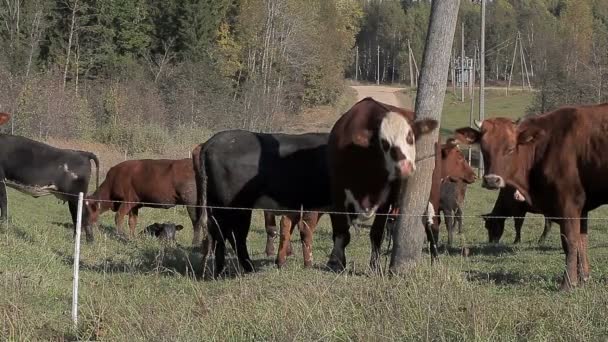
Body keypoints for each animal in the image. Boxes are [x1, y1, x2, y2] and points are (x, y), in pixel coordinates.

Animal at [192, 130, 330, 276]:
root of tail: (210, 142)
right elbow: (306, 231)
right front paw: (310, 264)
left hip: (216, 206)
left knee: (219, 233)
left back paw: (219, 270)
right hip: (237, 207)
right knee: (235, 236)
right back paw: (248, 268)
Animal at [328, 97, 436, 272]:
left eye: (410, 137)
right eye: (384, 143)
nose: (405, 167)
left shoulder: (385, 201)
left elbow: (376, 233)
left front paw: (375, 266)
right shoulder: (336, 192)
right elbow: (341, 230)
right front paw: (335, 261)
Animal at [454, 103, 608, 288]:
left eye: (510, 148)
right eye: (484, 149)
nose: (491, 180)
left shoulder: (569, 202)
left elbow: (570, 241)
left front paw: (568, 283)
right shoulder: (582, 208)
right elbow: (581, 241)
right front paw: (583, 278)